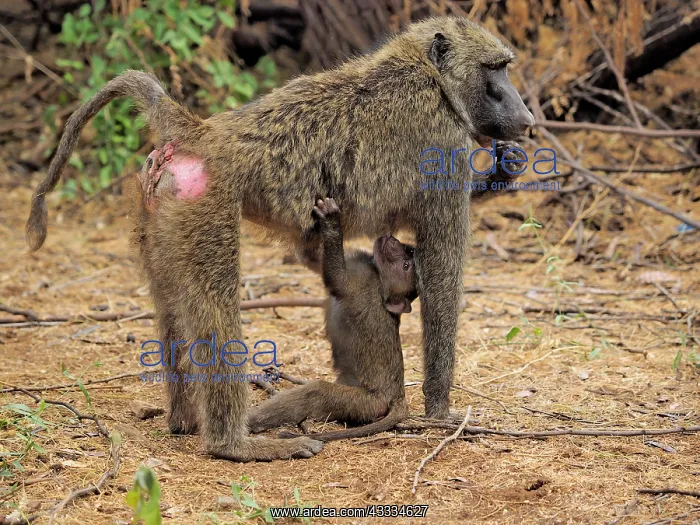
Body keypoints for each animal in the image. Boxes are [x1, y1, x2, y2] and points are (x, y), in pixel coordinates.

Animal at [248, 197, 416, 440]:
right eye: (406, 251)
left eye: (406, 265)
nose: (392, 238)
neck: (380, 279)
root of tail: (398, 396)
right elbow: (310, 258)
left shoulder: (362, 284)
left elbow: (337, 279)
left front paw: (331, 221)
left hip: (367, 402)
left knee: (316, 392)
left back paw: (252, 421)